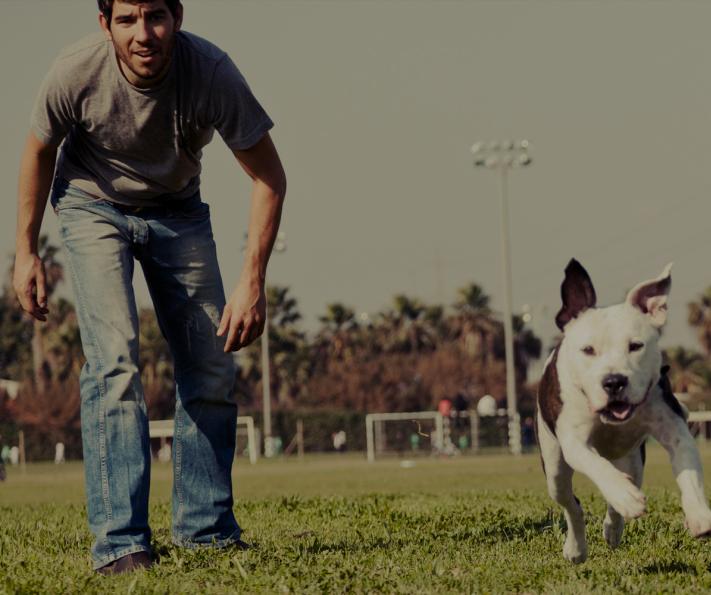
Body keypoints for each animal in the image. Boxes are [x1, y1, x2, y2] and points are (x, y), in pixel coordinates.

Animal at [540, 260, 711, 564]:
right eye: (588, 350)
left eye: (635, 346)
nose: (614, 381)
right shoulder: (575, 442)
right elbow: (597, 466)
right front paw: (625, 496)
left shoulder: (674, 429)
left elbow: (689, 473)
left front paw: (698, 514)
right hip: (555, 469)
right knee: (571, 504)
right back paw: (577, 548)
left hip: (633, 460)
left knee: (622, 482)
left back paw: (613, 528)